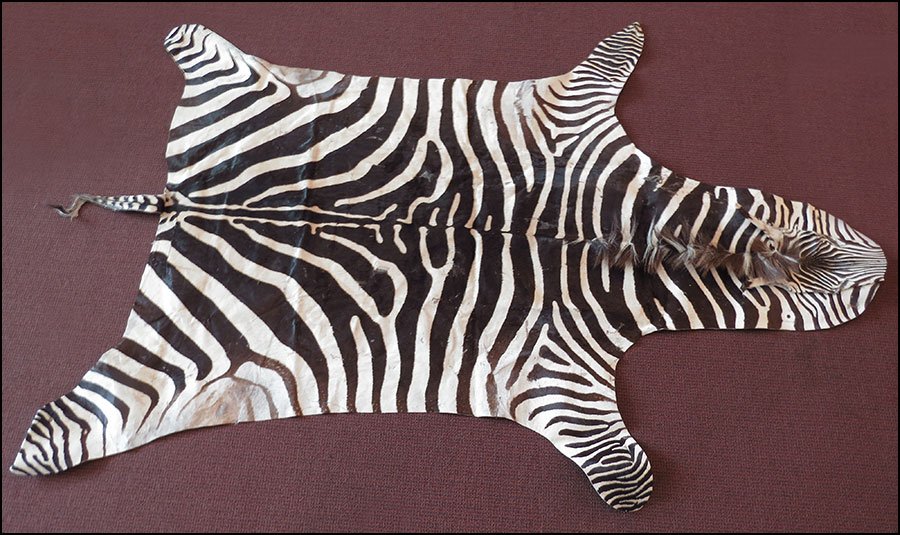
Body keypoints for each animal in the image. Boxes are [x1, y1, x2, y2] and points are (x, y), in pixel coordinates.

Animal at [10, 22, 886, 512]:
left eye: (804, 234)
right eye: (805, 289)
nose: (879, 269)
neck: (621, 240)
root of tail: (186, 200)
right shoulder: (559, 374)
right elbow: (623, 475)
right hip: (172, 369)